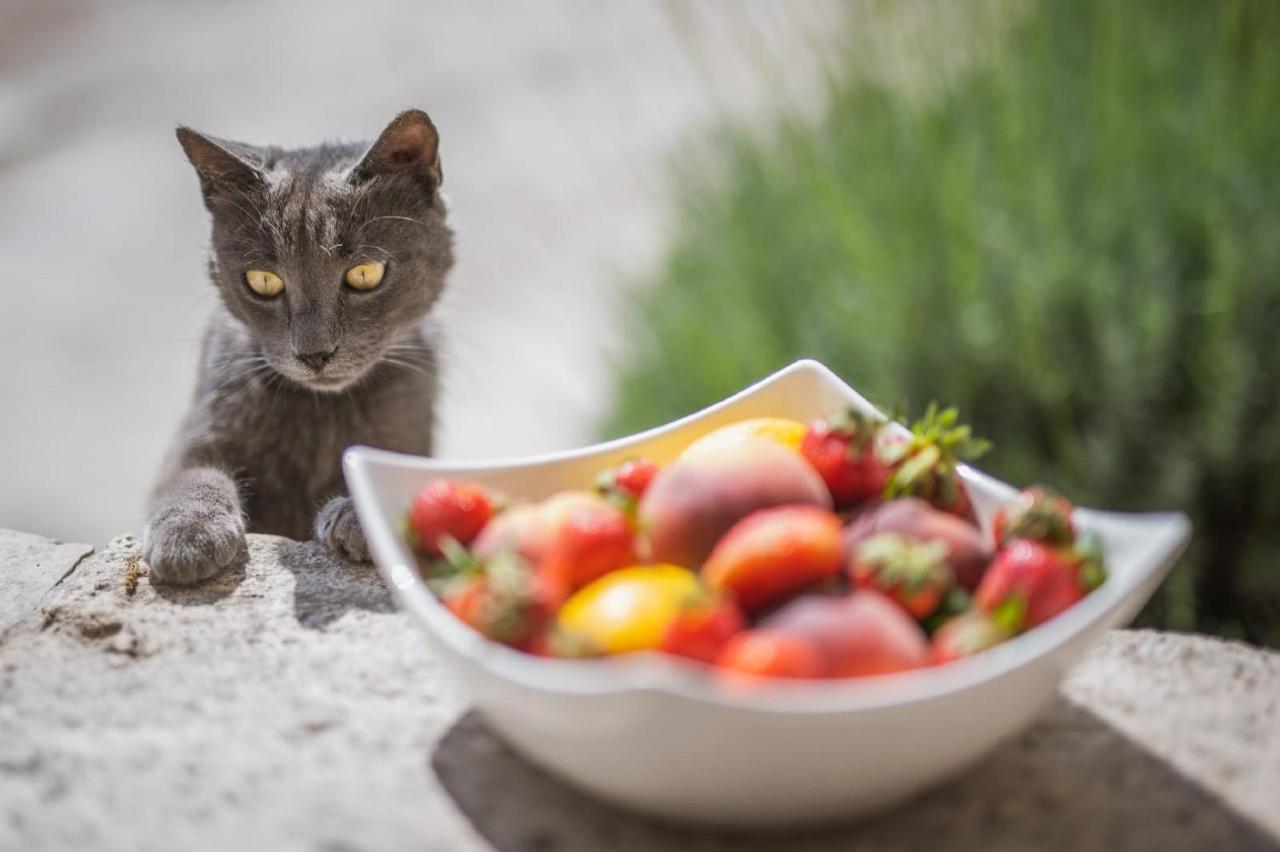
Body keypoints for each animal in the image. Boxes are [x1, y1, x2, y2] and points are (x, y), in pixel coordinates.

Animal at [142, 109, 453, 580]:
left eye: (365, 274)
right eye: (263, 281)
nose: (314, 353)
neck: (320, 413)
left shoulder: (409, 432)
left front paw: (358, 516)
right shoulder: (199, 429)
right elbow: (190, 475)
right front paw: (189, 536)